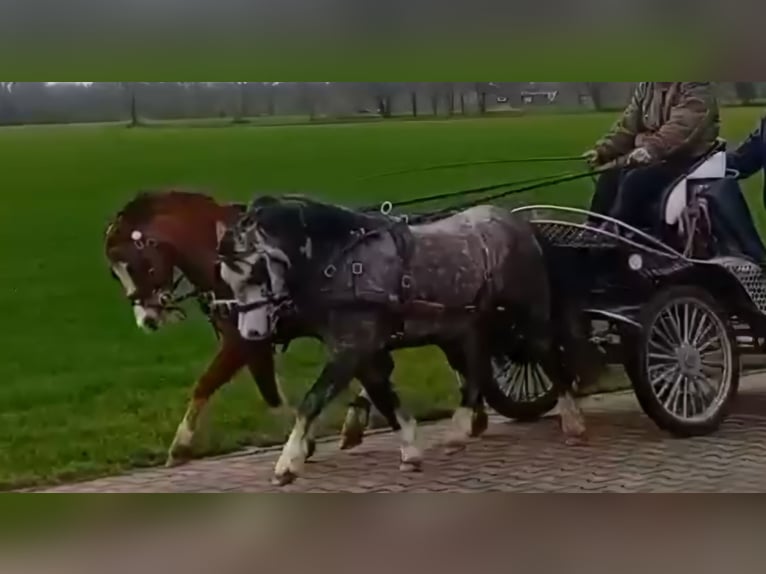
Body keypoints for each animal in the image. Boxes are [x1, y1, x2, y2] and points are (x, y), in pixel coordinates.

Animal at [217, 194, 586, 485]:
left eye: (257, 272)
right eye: (227, 278)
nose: (251, 334)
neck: (340, 263)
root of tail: (520, 223)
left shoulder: (351, 348)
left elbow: (313, 401)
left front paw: (287, 464)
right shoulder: (365, 350)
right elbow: (383, 395)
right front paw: (409, 448)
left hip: (529, 315)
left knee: (548, 356)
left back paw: (573, 421)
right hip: (466, 326)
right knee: (476, 372)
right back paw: (459, 432)